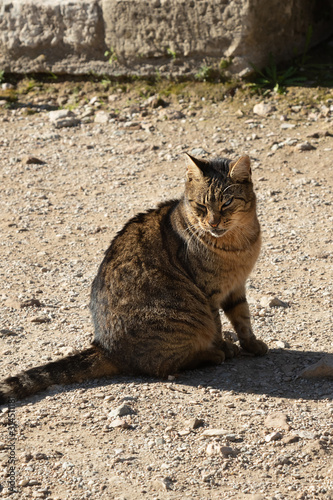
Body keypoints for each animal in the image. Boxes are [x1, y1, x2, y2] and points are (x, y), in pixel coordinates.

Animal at [0, 152, 266, 402]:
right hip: (183, 315)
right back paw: (212, 353)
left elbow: (243, 318)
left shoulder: (237, 286)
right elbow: (218, 326)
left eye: (227, 203)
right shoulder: (209, 292)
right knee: (164, 365)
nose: (213, 222)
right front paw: (225, 347)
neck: (238, 244)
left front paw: (252, 344)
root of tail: (104, 348)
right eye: (201, 205)